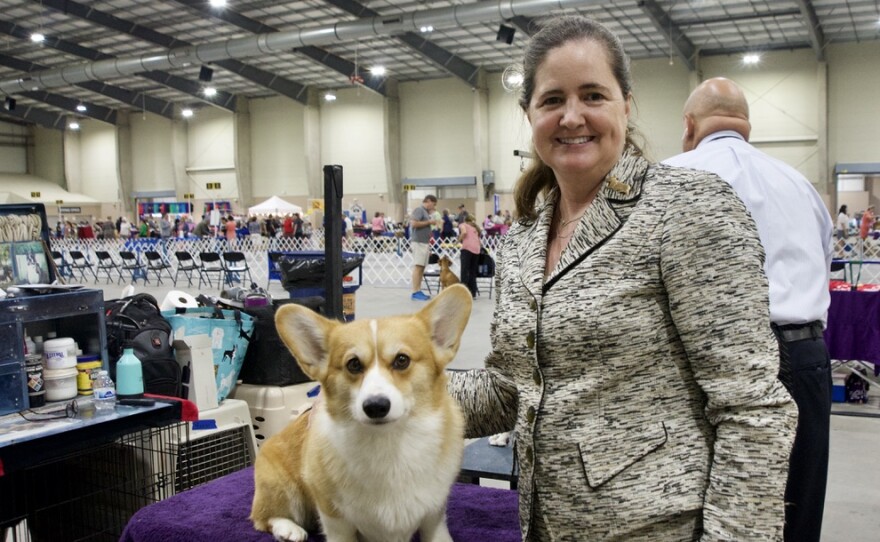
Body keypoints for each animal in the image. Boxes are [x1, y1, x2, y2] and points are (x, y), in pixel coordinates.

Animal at [253, 284, 474, 542]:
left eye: (402, 360)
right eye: (353, 364)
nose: (376, 406)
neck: (388, 444)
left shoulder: (434, 511)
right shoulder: (333, 514)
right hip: (281, 488)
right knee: (263, 518)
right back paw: (289, 529)